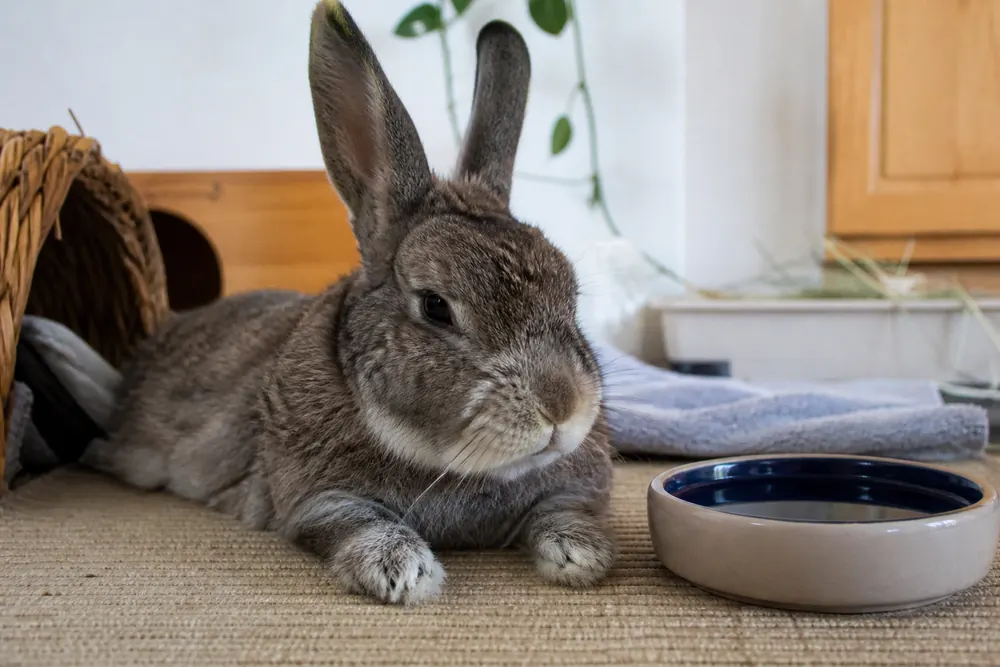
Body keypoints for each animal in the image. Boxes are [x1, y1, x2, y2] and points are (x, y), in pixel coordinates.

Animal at [18, 0, 615, 606]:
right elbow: (355, 522)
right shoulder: (314, 500)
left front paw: (583, 558)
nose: (563, 407)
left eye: (570, 293)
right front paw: (403, 574)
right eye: (436, 307)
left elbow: (565, 513)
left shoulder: (572, 490)